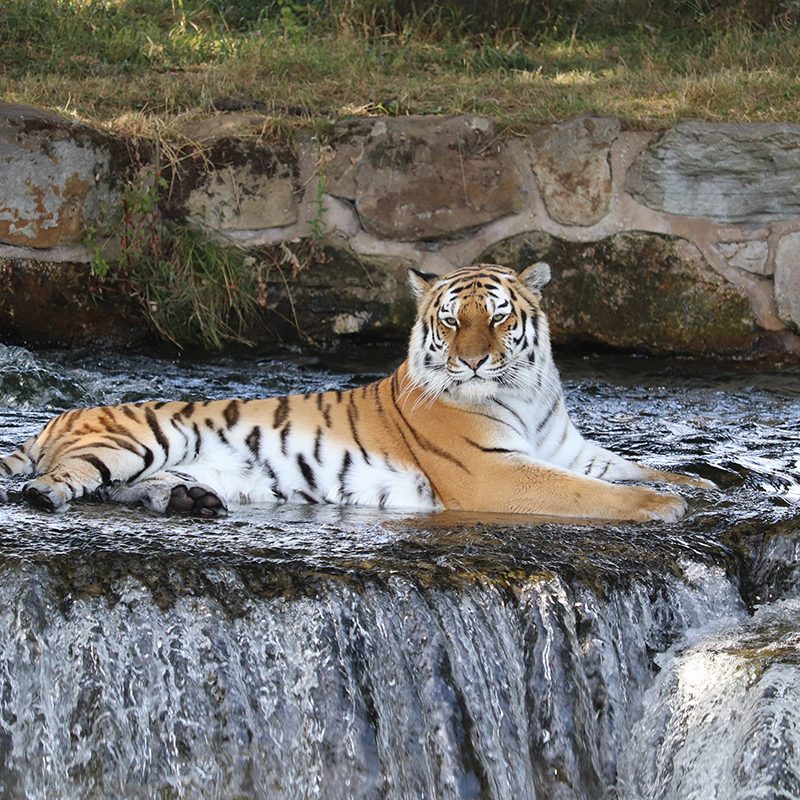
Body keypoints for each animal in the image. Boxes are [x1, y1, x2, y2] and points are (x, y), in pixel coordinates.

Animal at [0, 262, 712, 520]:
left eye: (498, 318)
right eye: (451, 320)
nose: (474, 362)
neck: (529, 394)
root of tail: (59, 416)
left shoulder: (568, 448)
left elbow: (633, 466)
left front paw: (698, 486)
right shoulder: (494, 472)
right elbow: (590, 491)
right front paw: (661, 507)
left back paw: (190, 499)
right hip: (126, 444)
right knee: (61, 480)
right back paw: (46, 496)